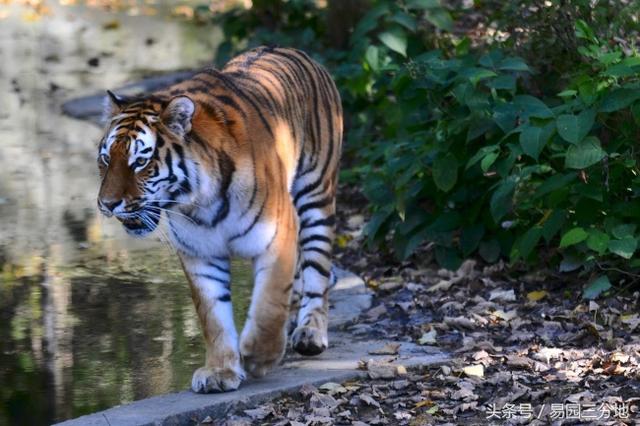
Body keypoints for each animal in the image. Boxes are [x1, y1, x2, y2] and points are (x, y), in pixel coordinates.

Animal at [95, 46, 342, 392]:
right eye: (106, 159)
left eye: (140, 162)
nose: (106, 204)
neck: (200, 202)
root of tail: (292, 50)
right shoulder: (201, 254)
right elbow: (213, 318)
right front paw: (220, 372)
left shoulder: (277, 236)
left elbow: (268, 302)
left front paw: (258, 356)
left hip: (315, 195)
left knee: (317, 271)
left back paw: (310, 332)